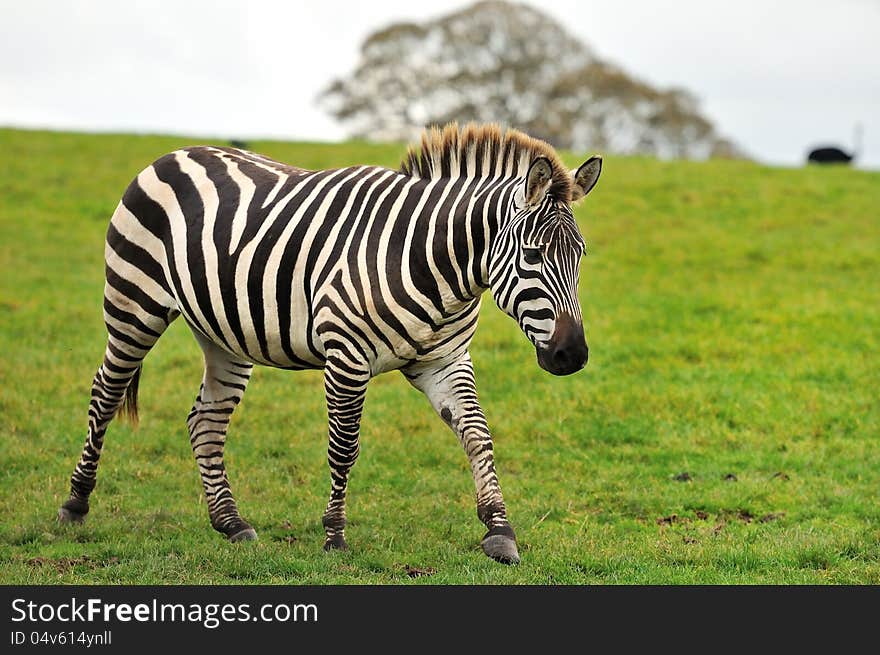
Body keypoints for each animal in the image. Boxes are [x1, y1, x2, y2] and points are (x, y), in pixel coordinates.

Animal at [58, 123, 600, 564]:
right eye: (532, 254)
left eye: (580, 255)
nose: (572, 356)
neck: (434, 263)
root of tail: (176, 152)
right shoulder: (346, 356)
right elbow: (344, 449)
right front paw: (334, 536)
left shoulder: (445, 359)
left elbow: (477, 436)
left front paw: (499, 531)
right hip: (134, 304)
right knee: (105, 394)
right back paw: (75, 504)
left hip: (223, 332)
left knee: (205, 420)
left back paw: (231, 523)